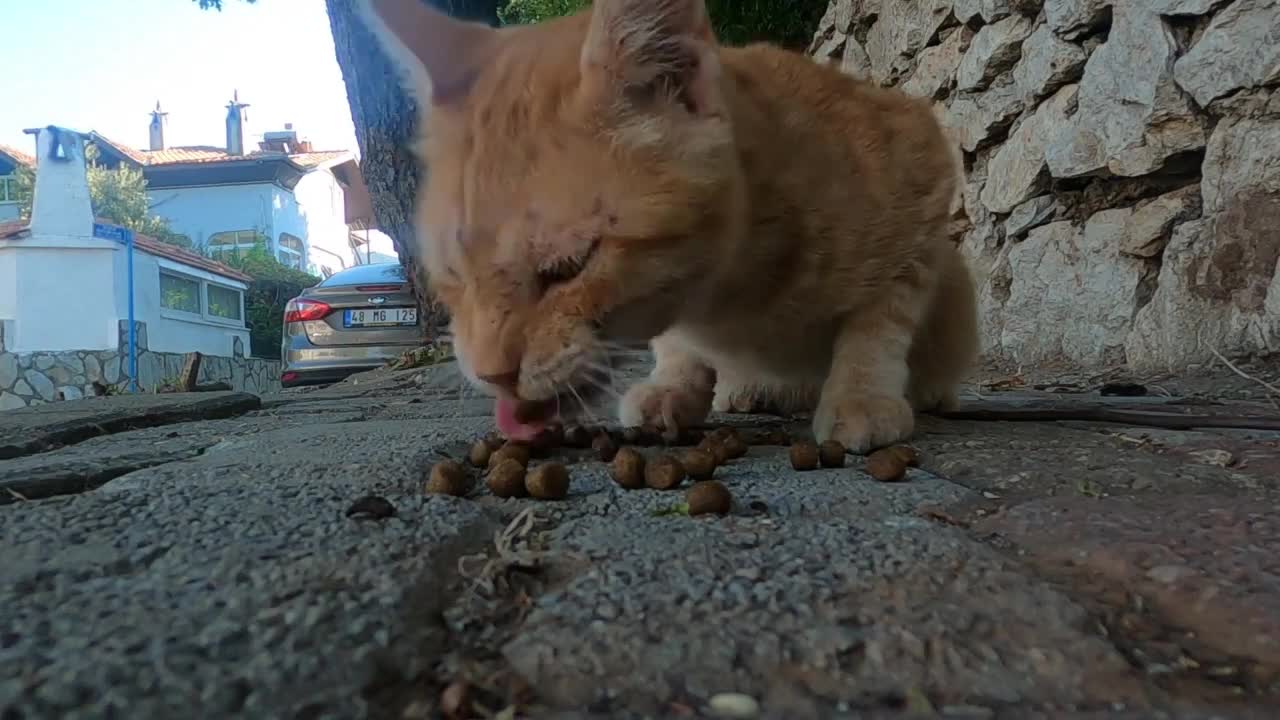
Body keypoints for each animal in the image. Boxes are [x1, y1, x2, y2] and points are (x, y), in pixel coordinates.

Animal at [355, 0, 972, 448]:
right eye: (454, 279)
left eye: (569, 268)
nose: (492, 376)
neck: (730, 302)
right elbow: (676, 342)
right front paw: (674, 385)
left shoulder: (925, 170)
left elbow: (881, 319)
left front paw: (862, 395)